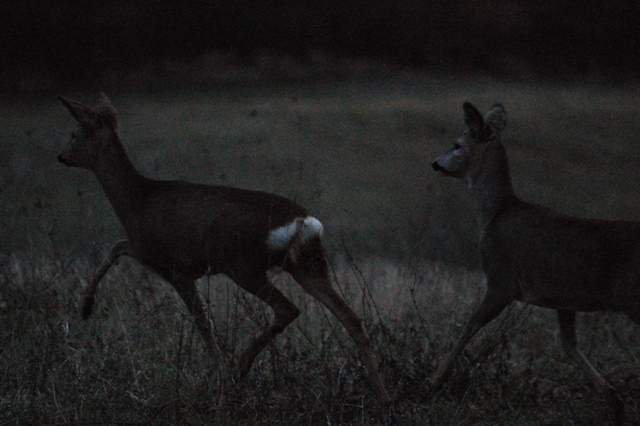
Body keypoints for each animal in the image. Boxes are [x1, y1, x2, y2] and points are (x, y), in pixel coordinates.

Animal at [58, 93, 390, 402]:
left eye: (74, 133)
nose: (60, 156)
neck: (136, 201)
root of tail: (303, 223)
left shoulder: (171, 264)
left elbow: (200, 321)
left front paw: (85, 307)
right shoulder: (159, 257)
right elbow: (119, 246)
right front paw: (86, 307)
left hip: (245, 265)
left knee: (288, 308)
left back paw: (239, 367)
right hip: (306, 265)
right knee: (351, 317)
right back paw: (381, 395)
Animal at [428, 100, 636, 410]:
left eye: (456, 144)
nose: (435, 163)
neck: (495, 214)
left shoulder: (501, 280)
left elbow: (470, 324)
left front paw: (434, 380)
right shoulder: (565, 296)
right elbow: (569, 345)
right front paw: (610, 395)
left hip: (630, 293)